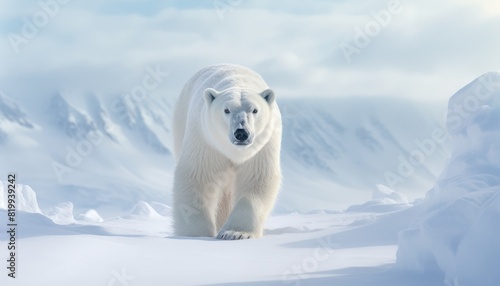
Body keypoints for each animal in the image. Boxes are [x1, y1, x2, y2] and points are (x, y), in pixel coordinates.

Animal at [172, 63, 282, 239]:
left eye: (255, 110)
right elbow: (199, 176)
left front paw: (235, 233)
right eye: (227, 110)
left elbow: (256, 178)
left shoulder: (263, 146)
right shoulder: (206, 140)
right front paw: (196, 234)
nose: (241, 133)